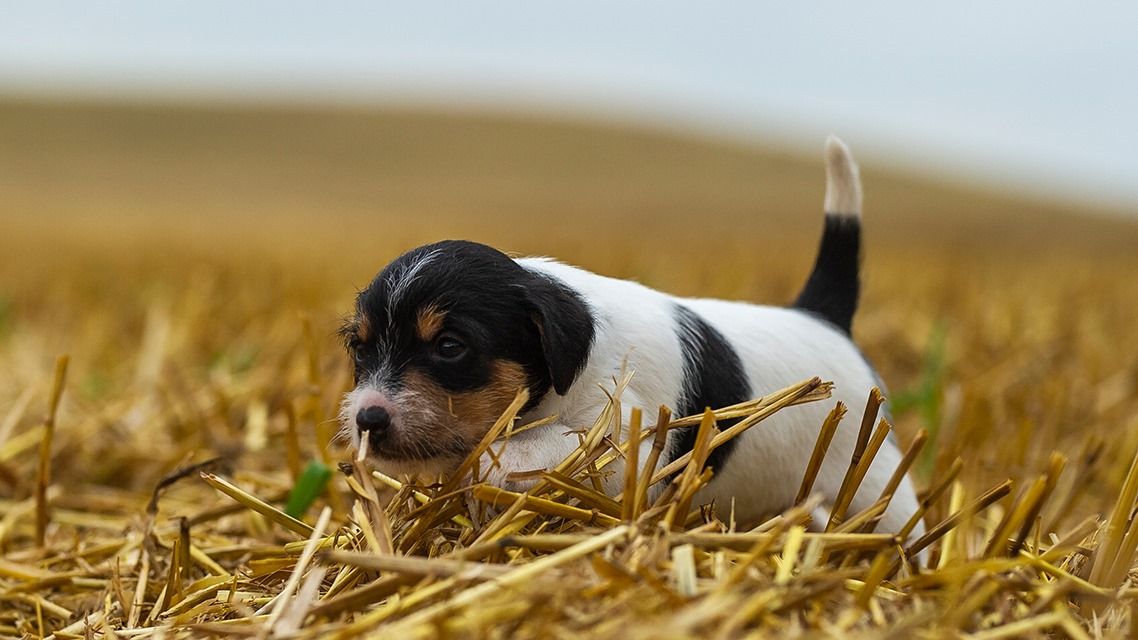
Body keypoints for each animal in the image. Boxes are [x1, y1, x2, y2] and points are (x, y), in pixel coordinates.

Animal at [336, 135, 924, 537]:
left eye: (450, 347)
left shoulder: (622, 442)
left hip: (874, 484)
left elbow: (535, 451)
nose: (368, 419)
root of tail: (823, 317)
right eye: (360, 347)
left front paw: (489, 461)